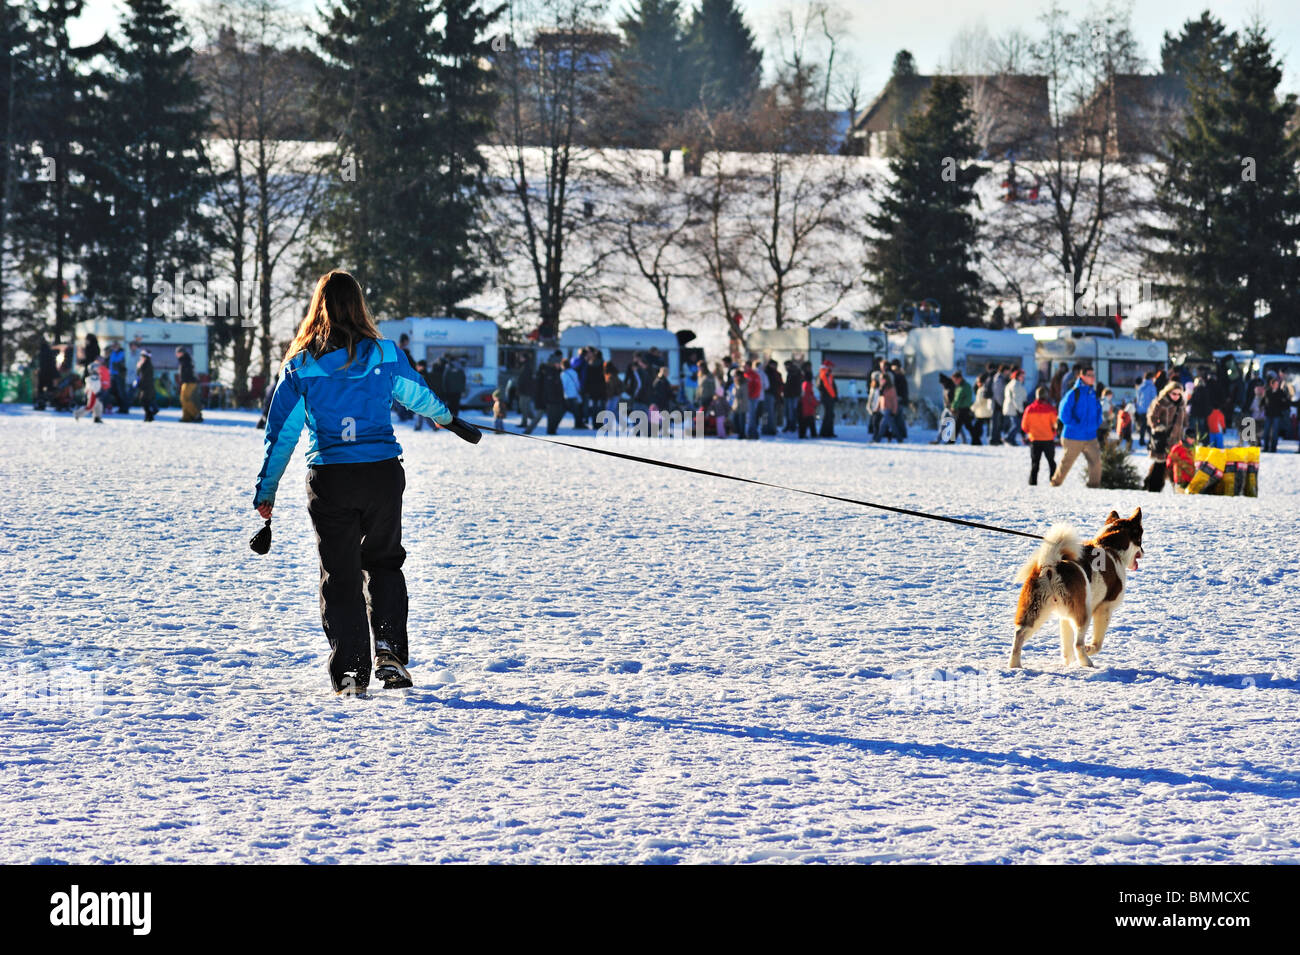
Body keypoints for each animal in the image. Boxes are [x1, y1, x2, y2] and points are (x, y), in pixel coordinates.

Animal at [1008, 509, 1144, 670]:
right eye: (1140, 539)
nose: (1143, 552)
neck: (1110, 547)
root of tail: (1051, 566)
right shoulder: (1104, 609)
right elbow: (1097, 644)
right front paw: (1089, 649)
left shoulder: (1065, 617)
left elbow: (1066, 645)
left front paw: (1068, 663)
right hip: (1084, 612)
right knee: (1078, 643)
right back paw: (1087, 662)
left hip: (1035, 611)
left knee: (1019, 635)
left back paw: (1015, 666)